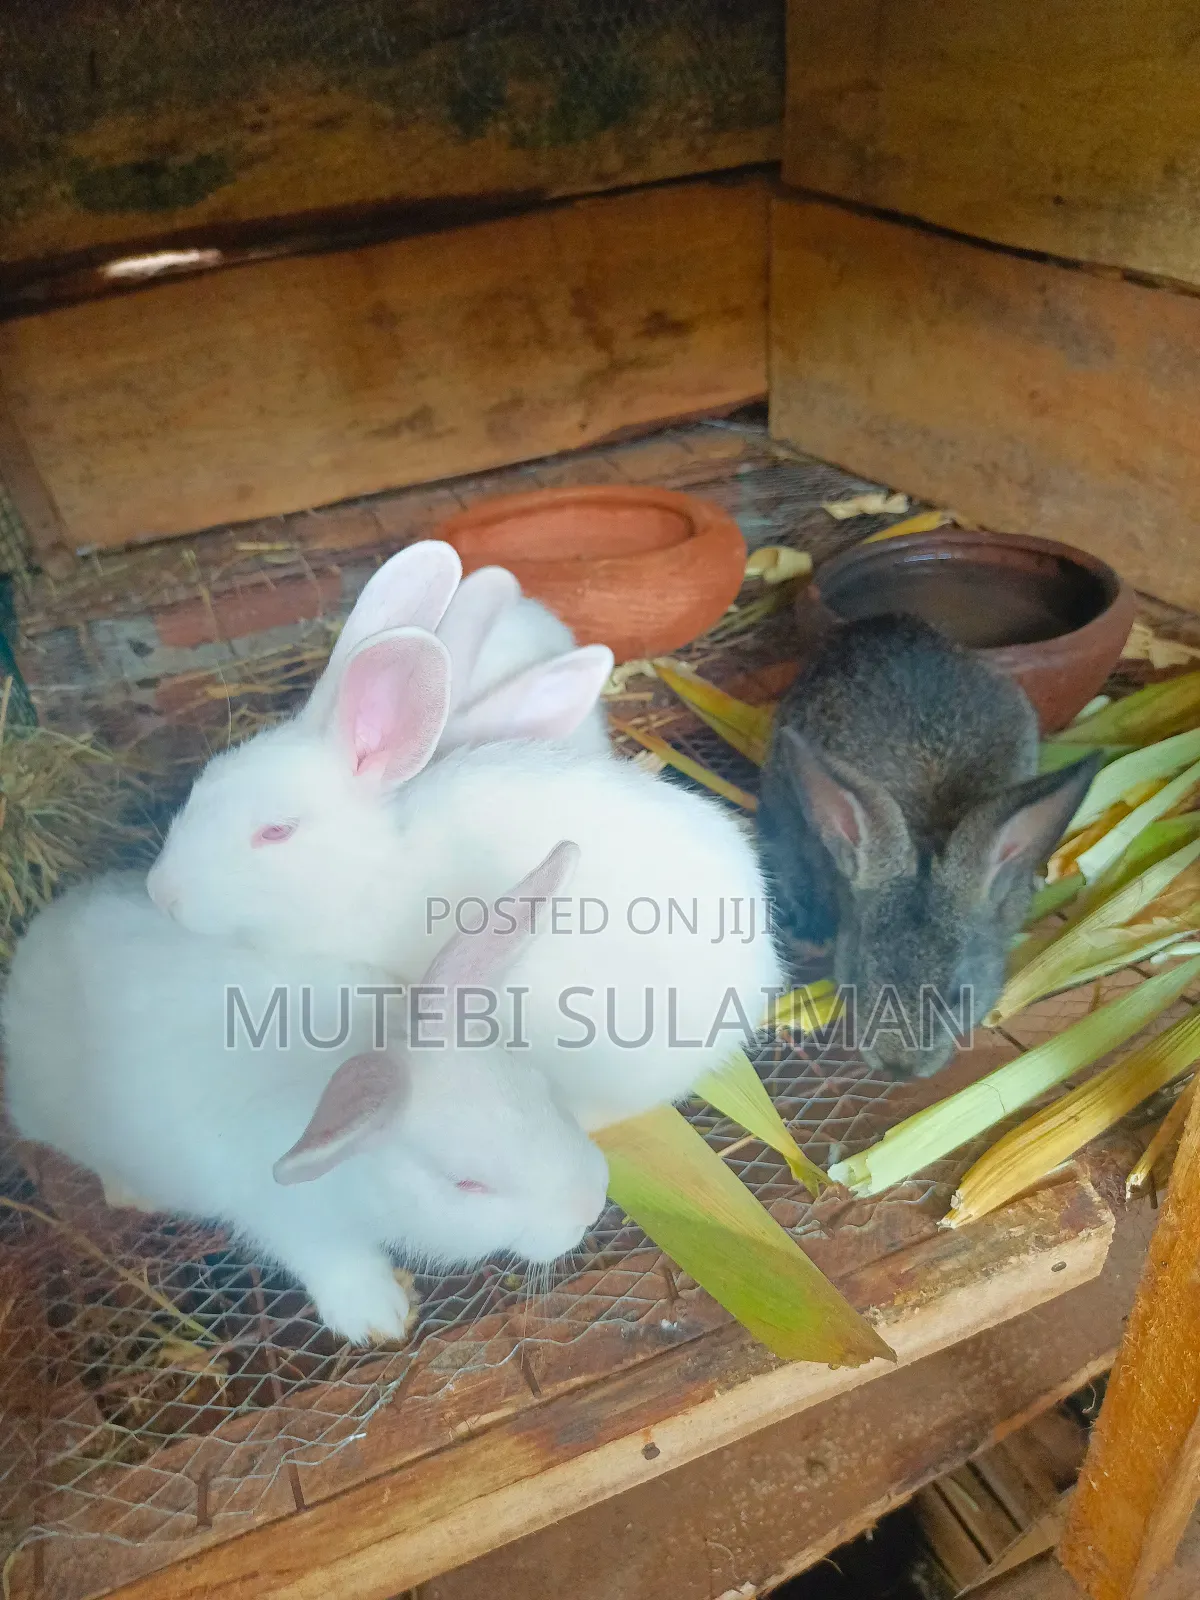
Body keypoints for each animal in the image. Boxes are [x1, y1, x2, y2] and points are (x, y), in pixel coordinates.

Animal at [2, 846, 610, 1346]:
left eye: (543, 1087)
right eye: (465, 1183)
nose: (591, 1203)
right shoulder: (286, 1219)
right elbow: (332, 1260)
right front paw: (378, 1315)